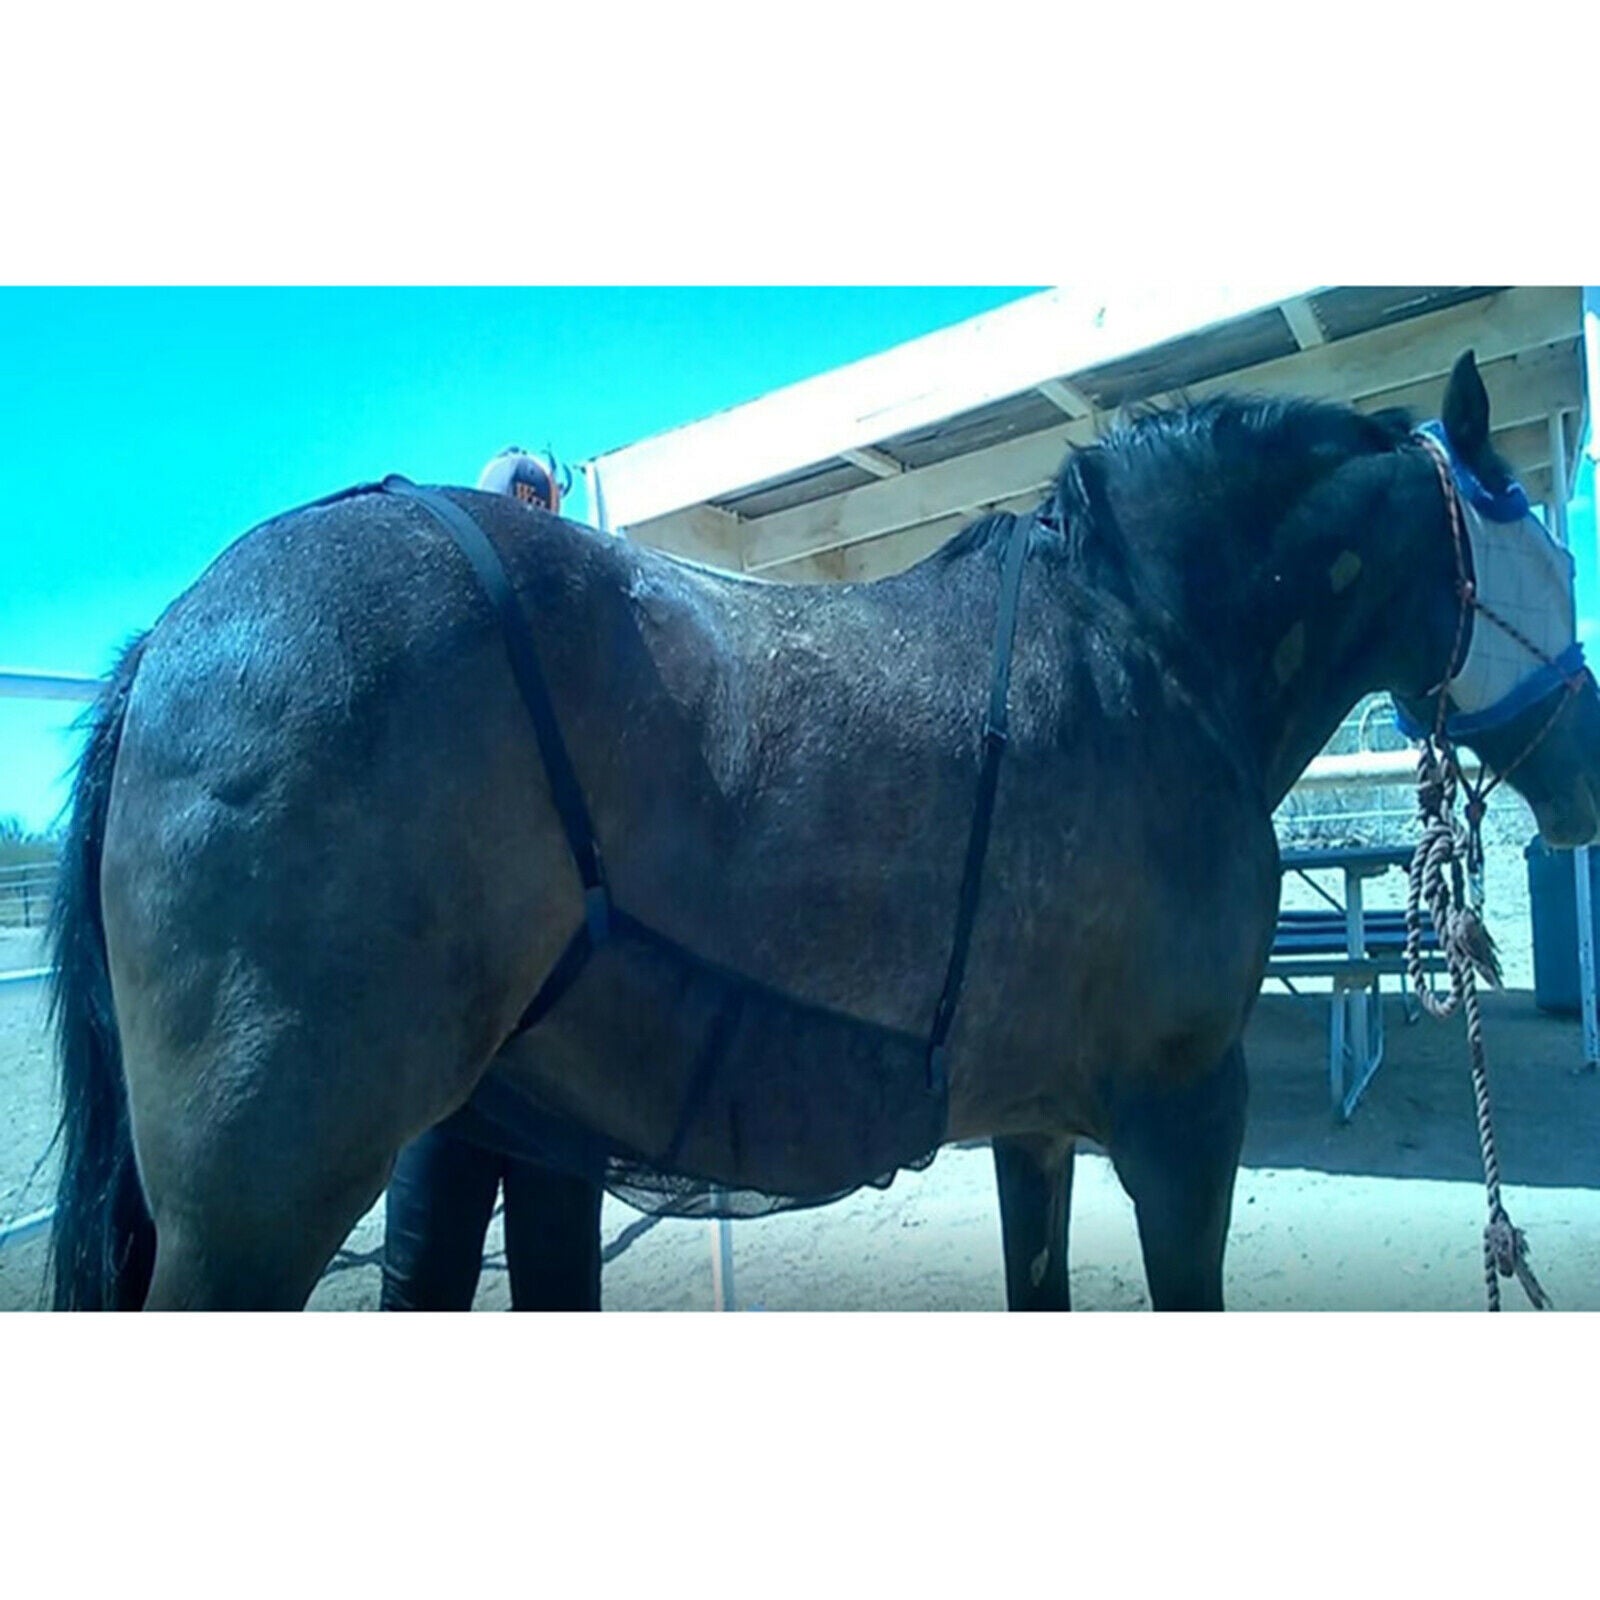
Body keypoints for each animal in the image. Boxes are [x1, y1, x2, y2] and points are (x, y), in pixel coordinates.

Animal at [47, 350, 1600, 1310]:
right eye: (1545, 541)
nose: (1585, 766)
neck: (1143, 655)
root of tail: (173, 633)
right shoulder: (1179, 1118)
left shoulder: (1033, 1129)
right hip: (261, 1199)